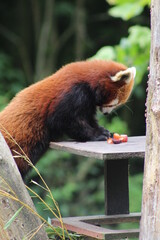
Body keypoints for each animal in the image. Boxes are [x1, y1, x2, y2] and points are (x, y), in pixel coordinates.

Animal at [0, 60, 135, 176]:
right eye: (113, 104)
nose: (106, 113)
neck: (87, 81)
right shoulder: (71, 94)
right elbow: (62, 121)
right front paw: (97, 134)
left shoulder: (87, 103)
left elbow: (88, 118)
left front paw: (103, 130)